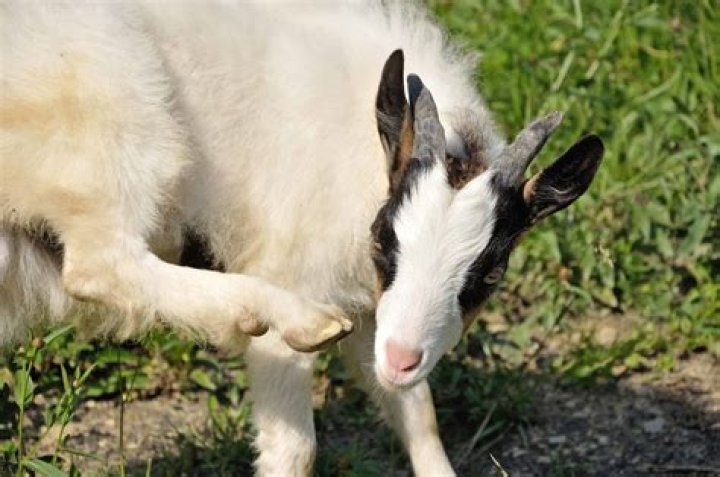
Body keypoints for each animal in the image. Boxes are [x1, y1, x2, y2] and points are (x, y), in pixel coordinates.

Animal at [0, 2, 603, 475]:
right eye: (384, 238)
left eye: (490, 271)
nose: (404, 359)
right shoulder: (300, 277)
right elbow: (296, 449)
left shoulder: (379, 315)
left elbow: (418, 414)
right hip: (117, 122)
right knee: (98, 263)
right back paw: (291, 318)